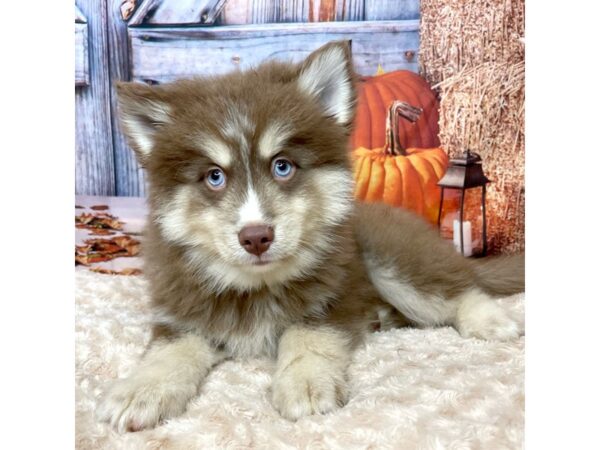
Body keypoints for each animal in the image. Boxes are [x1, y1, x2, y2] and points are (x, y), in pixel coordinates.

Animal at [96, 42, 524, 432]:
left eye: (282, 166)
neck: (255, 288)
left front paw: (304, 382)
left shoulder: (333, 298)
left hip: (392, 261)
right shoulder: (181, 311)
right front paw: (142, 389)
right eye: (214, 176)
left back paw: (489, 321)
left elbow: (306, 337)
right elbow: (169, 350)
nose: (256, 237)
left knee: (463, 290)